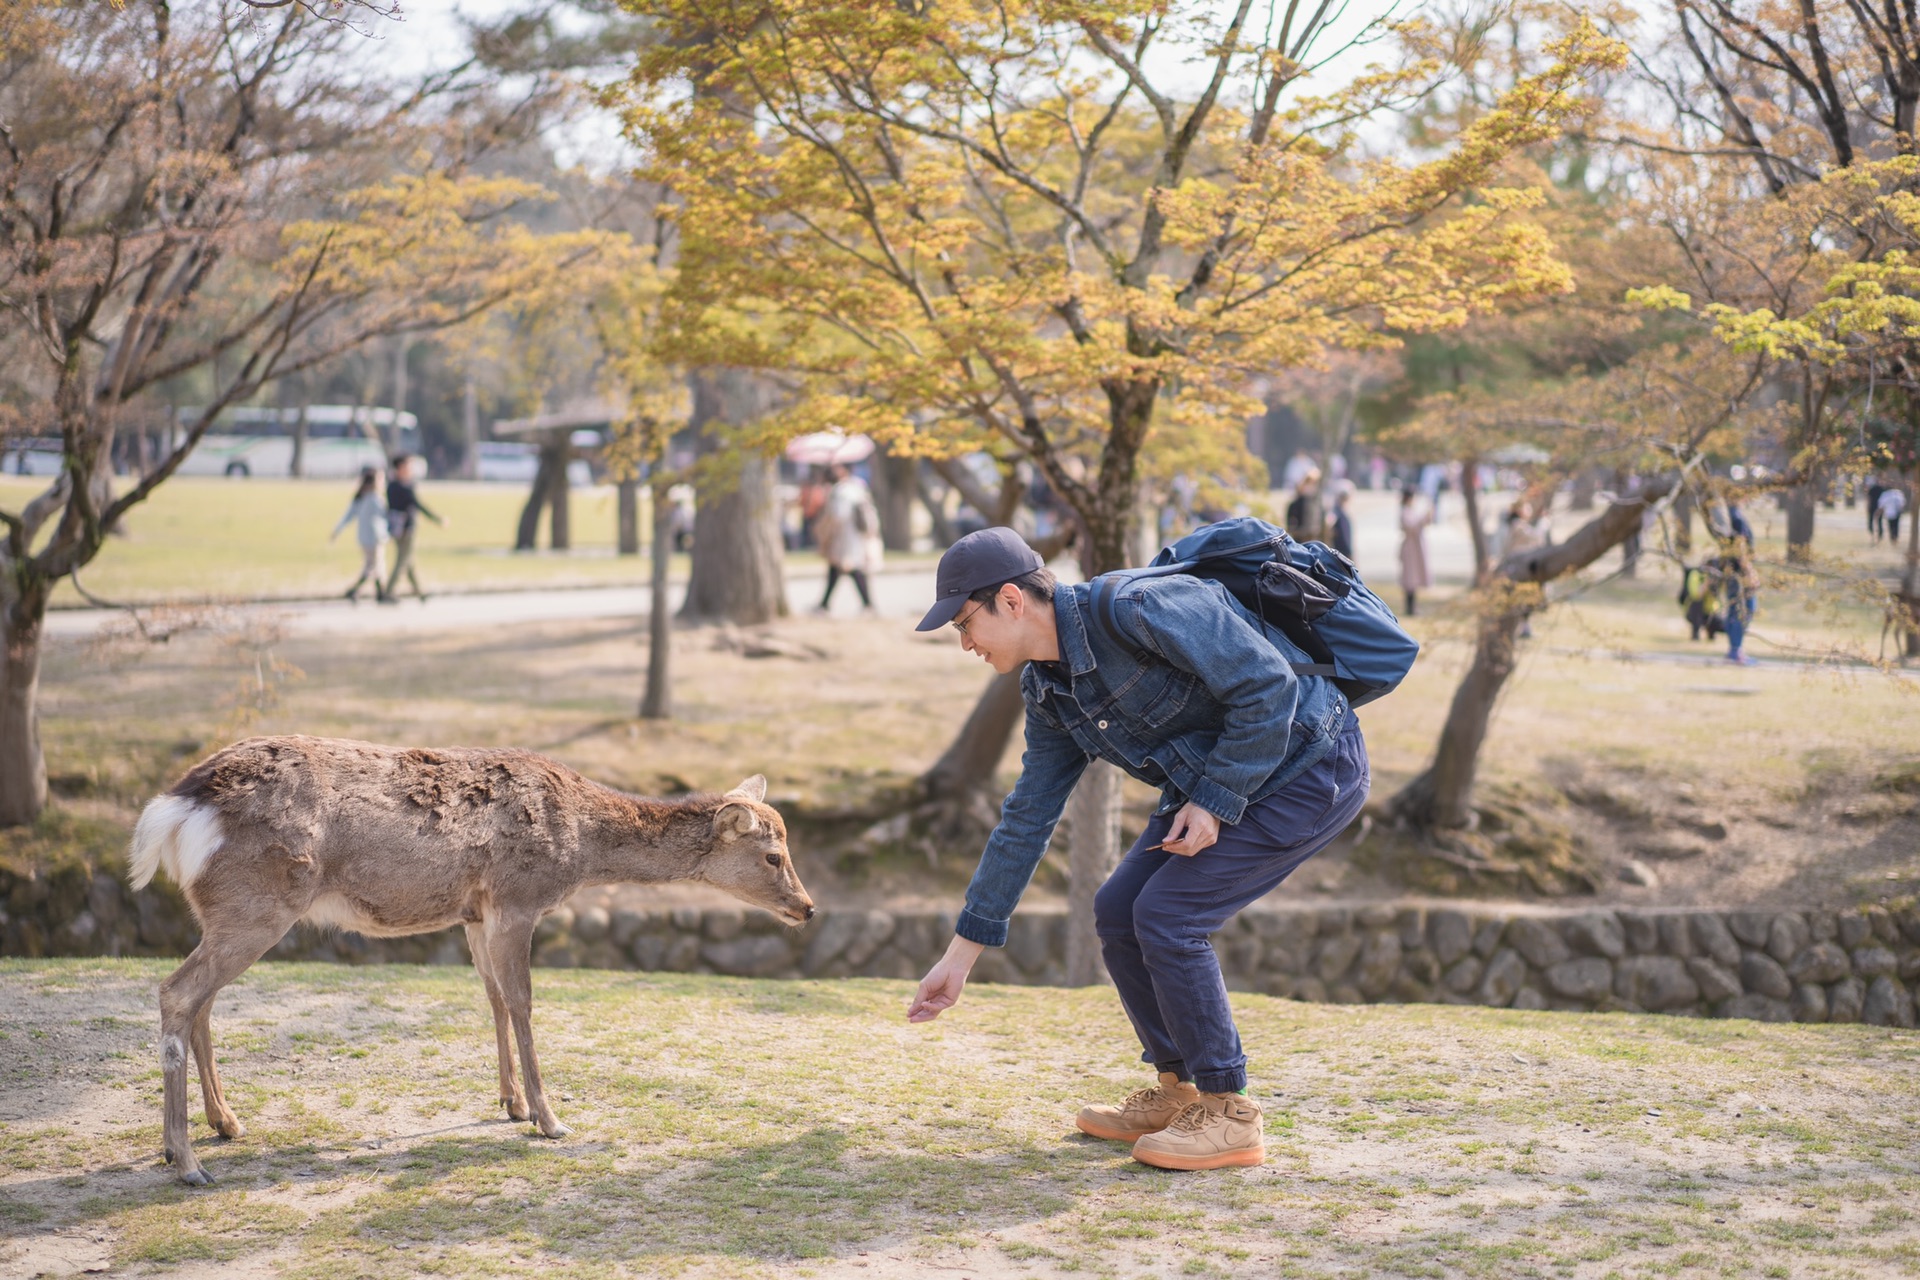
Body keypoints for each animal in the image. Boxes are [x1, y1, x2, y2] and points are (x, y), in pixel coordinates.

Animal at [125, 736, 817, 1189]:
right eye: (773, 855)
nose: (807, 908)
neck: (581, 850)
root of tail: (173, 812)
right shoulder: (517, 897)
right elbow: (524, 1000)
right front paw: (551, 1119)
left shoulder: (476, 912)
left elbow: (491, 996)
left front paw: (511, 1105)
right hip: (259, 903)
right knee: (178, 992)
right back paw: (186, 1161)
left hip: (222, 909)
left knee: (202, 1000)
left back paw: (224, 1125)